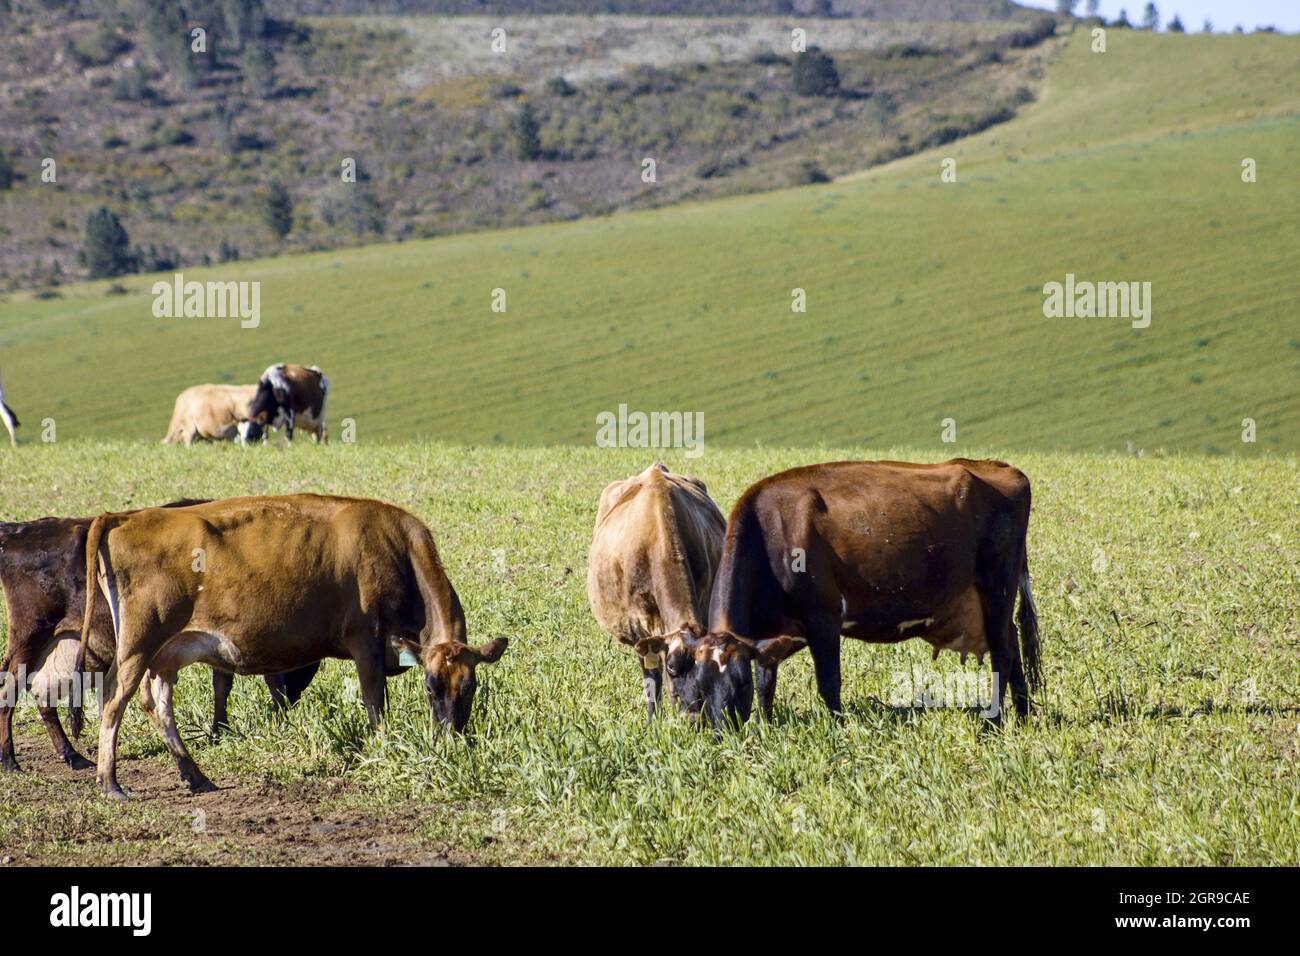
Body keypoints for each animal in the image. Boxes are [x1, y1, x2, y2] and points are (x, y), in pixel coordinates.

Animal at [0, 505, 319, 773]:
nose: (294, 699)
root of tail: (19, 531)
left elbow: (224, 683)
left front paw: (220, 730)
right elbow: (254, 682)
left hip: (59, 646)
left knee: (42, 695)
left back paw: (72, 755)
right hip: (29, 638)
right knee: (9, 691)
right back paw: (10, 761)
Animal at [76, 494, 508, 798]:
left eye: (470, 688)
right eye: (430, 688)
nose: (451, 740)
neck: (396, 550)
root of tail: (128, 517)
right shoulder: (365, 642)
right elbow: (375, 704)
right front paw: (383, 750)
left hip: (166, 653)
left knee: (157, 704)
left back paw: (195, 776)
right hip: (138, 646)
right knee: (114, 703)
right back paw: (110, 782)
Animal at [668, 459, 1041, 728]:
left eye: (738, 684)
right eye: (700, 688)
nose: (724, 732)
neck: (770, 532)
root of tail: (998, 467)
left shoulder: (824, 617)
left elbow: (828, 683)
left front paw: (837, 728)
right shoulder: (765, 634)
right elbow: (767, 681)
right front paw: (767, 725)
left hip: (997, 584)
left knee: (1003, 652)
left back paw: (993, 723)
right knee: (1012, 644)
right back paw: (1023, 715)